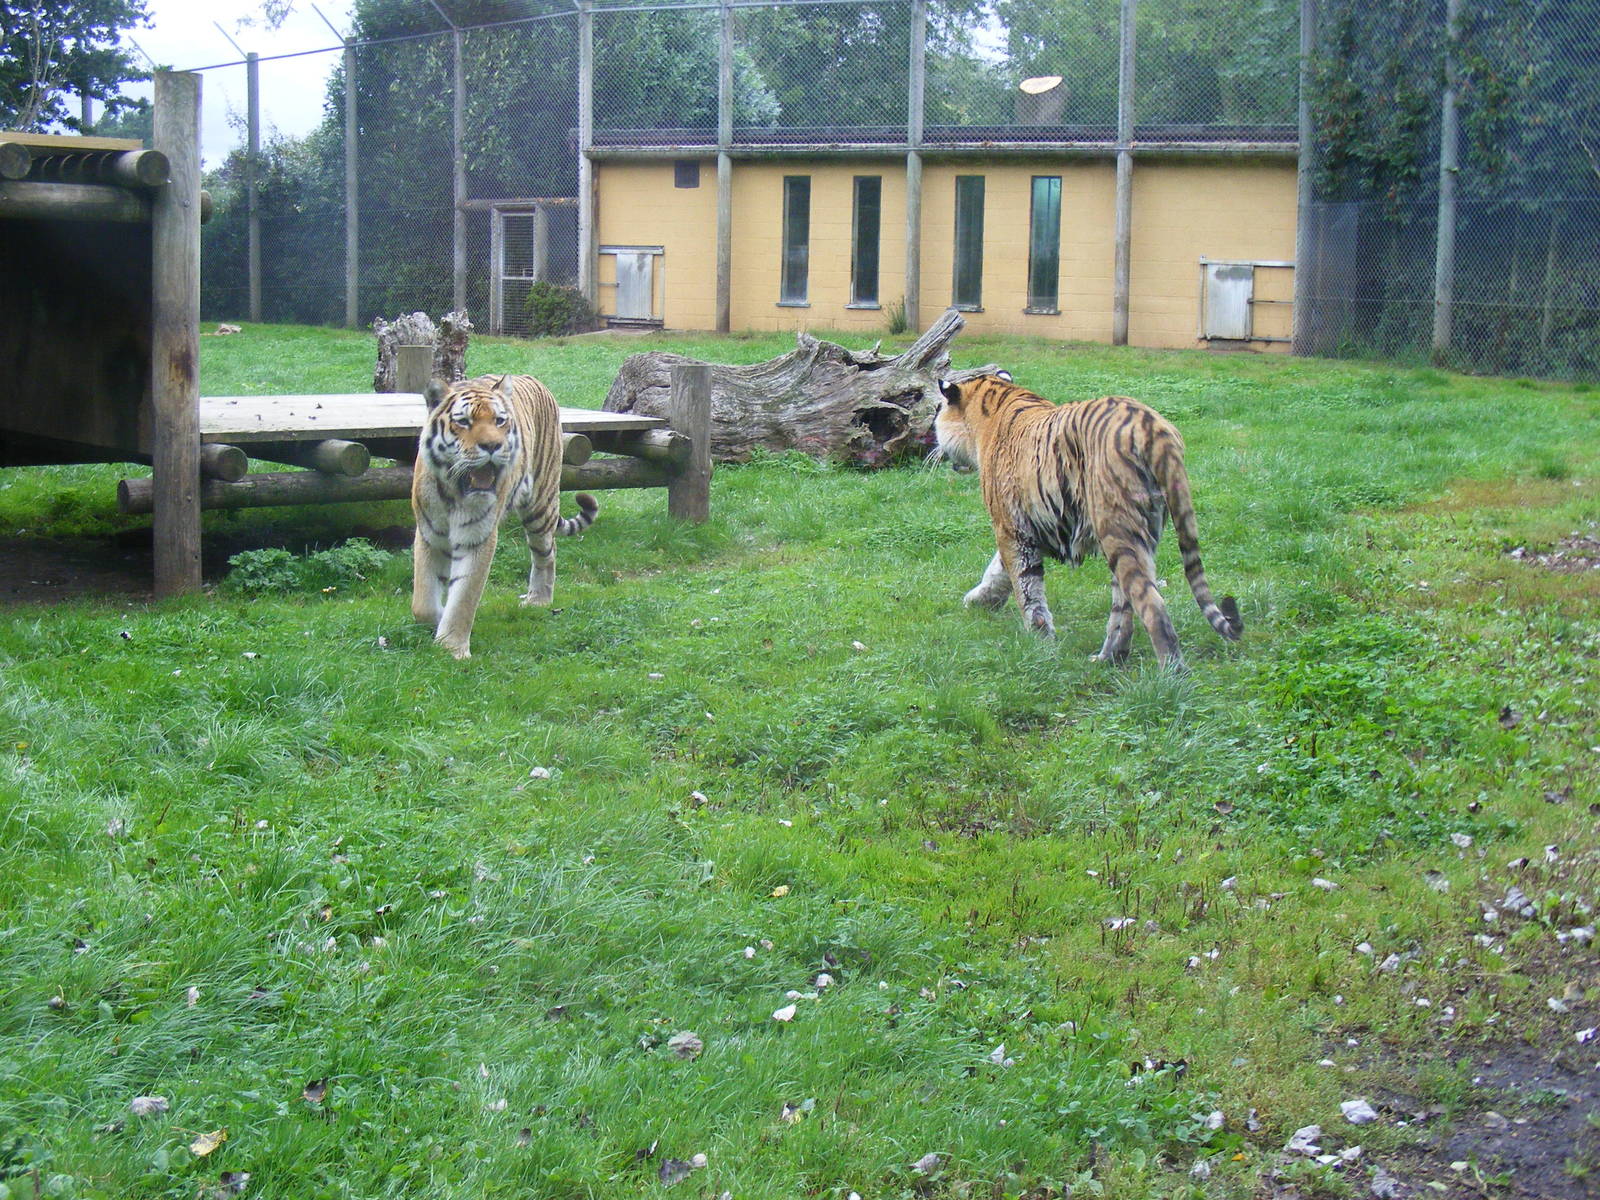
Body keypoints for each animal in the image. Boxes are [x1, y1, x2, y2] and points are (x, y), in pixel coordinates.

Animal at [411, 374, 598, 659]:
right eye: (463, 421)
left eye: (499, 421)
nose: (492, 446)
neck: (454, 490)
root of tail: (533, 378)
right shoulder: (429, 534)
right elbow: (422, 603)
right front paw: (438, 620)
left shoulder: (477, 538)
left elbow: (464, 597)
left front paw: (452, 648)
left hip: (540, 505)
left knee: (547, 553)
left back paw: (538, 600)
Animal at [933, 371, 1241, 671]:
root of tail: (1154, 426)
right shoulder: (1027, 527)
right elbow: (997, 570)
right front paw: (978, 600)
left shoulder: (1010, 528)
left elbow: (1026, 589)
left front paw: (1041, 643)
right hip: (1140, 536)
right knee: (1124, 605)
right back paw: (1110, 658)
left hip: (1116, 529)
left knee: (1151, 604)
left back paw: (1172, 673)